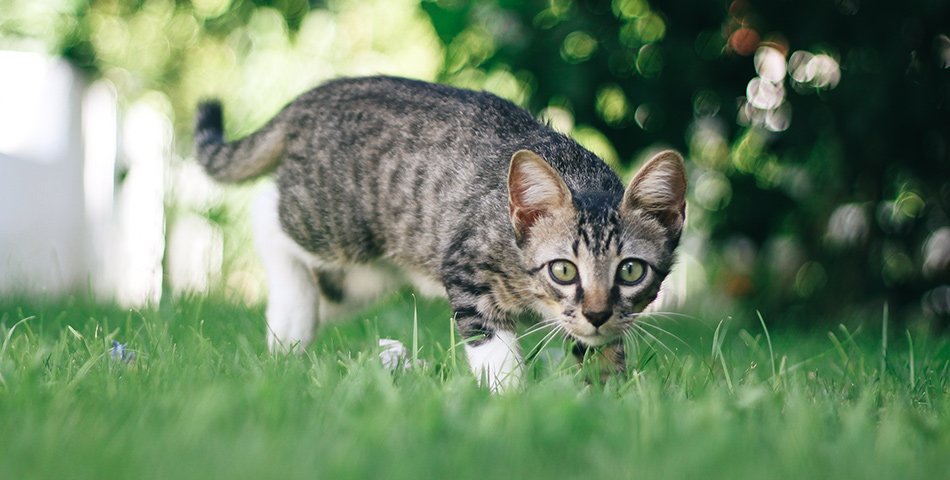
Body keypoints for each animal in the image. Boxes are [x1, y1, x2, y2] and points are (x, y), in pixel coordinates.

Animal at [195, 75, 684, 390]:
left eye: (631, 271)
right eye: (563, 270)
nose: (597, 313)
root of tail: (314, 96)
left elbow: (601, 354)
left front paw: (607, 395)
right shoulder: (466, 266)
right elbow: (494, 346)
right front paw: (509, 400)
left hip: (369, 274)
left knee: (327, 291)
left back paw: (293, 332)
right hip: (336, 225)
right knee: (266, 216)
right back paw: (291, 314)